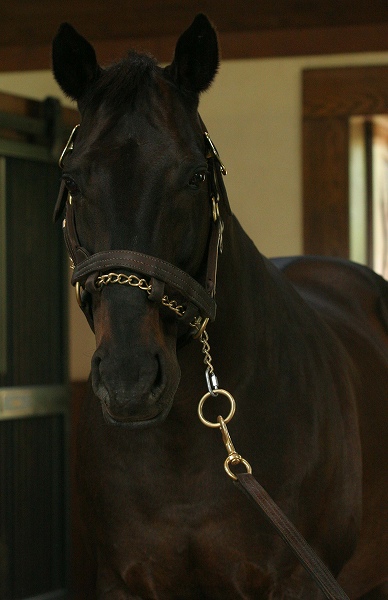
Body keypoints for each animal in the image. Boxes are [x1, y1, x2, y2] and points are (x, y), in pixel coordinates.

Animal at [52, 14, 388, 600]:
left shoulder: (299, 581)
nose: (129, 381)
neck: (182, 453)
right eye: (72, 180)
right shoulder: (123, 580)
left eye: (193, 176)